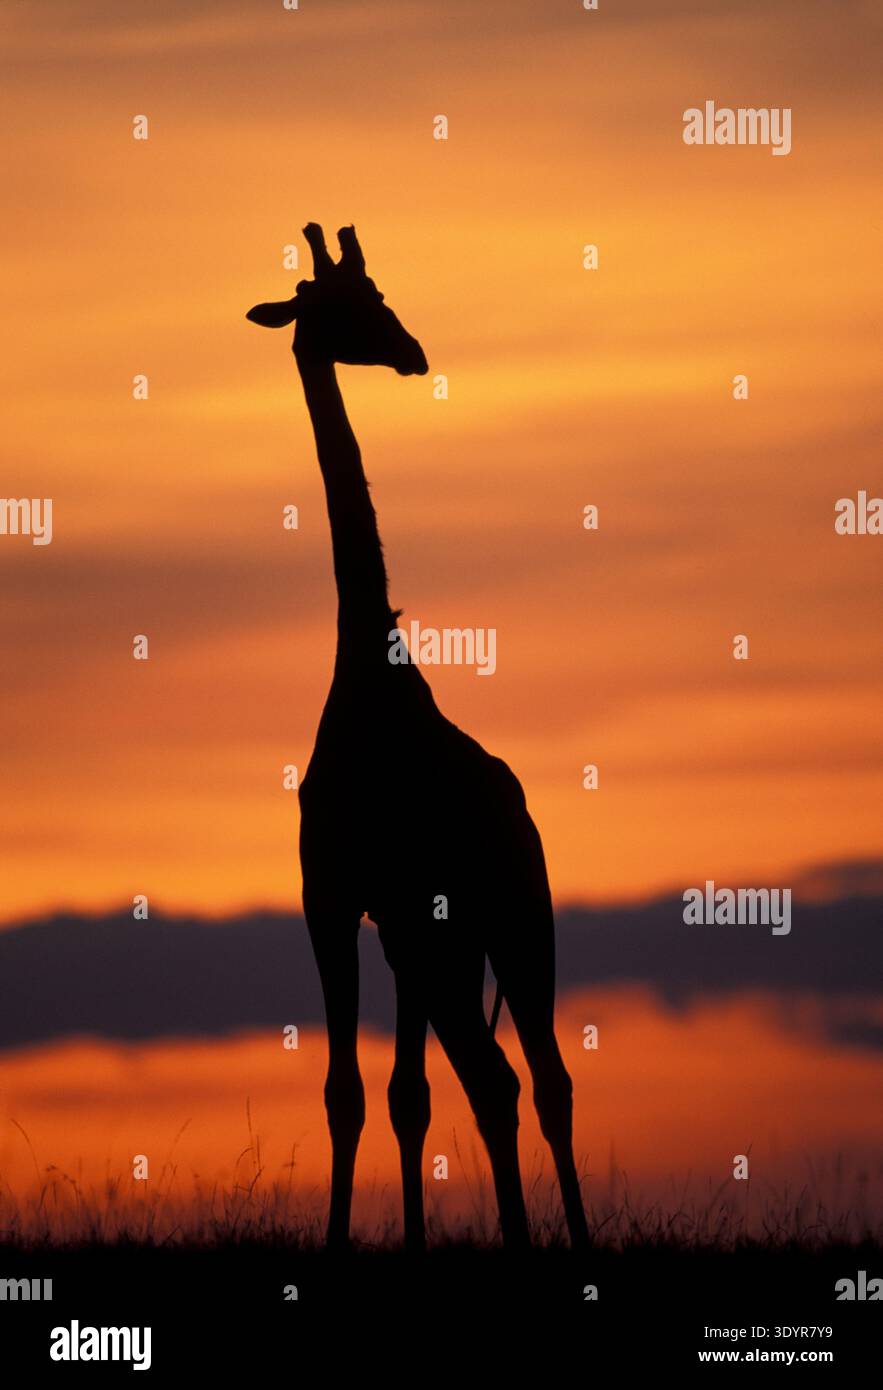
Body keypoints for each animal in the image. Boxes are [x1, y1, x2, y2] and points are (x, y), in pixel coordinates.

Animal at [248, 224, 589, 1252]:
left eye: (380, 293)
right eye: (345, 304)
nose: (413, 352)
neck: (367, 663)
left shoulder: (356, 902)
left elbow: (367, 1092)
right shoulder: (363, 910)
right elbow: (385, 1094)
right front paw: (392, 1240)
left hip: (505, 918)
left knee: (521, 1077)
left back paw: (546, 1240)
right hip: (475, 929)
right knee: (519, 1078)